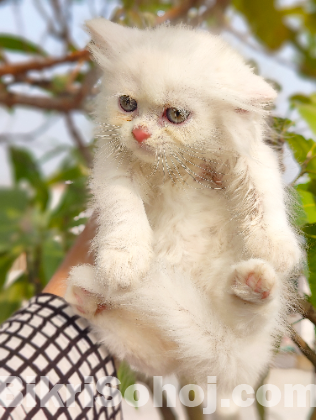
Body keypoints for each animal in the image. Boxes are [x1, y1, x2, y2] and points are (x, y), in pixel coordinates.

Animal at [64, 18, 302, 394]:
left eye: (175, 115)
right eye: (127, 104)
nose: (140, 133)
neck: (174, 167)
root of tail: (218, 359)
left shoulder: (249, 157)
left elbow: (263, 193)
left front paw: (275, 246)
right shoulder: (114, 169)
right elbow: (123, 208)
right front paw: (123, 260)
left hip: (251, 332)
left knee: (251, 320)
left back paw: (254, 283)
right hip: (157, 348)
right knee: (144, 348)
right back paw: (87, 296)